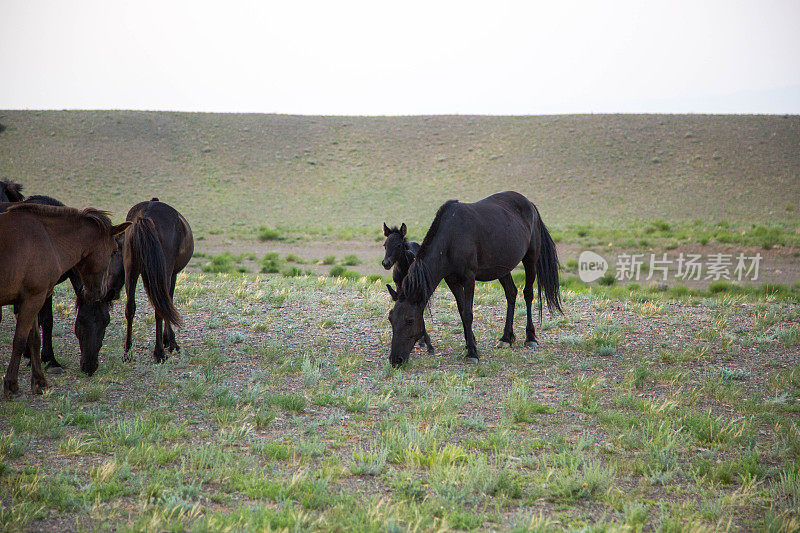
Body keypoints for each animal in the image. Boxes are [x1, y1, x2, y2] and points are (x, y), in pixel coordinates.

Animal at [0, 202, 130, 396]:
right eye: (114, 250)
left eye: (106, 323)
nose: (98, 292)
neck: (47, 240)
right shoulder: (33, 299)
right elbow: (20, 340)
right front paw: (11, 385)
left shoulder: (31, 299)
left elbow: (34, 338)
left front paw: (40, 381)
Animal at [382, 222, 434, 356]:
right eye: (385, 245)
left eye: (398, 245)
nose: (386, 263)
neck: (403, 269)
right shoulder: (399, 288)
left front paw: (428, 343)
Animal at [388, 191, 564, 366]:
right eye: (391, 319)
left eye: (410, 320)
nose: (395, 359)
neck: (451, 238)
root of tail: (530, 204)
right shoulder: (452, 280)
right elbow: (461, 311)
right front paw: (469, 344)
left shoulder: (469, 278)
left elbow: (468, 314)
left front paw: (472, 352)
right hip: (502, 268)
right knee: (511, 293)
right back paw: (506, 338)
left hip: (530, 259)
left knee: (528, 294)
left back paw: (530, 336)